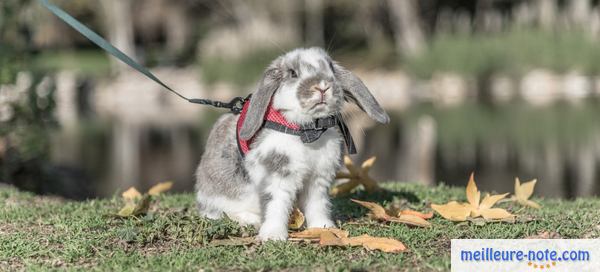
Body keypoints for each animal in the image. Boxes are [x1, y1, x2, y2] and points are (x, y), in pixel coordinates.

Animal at [193, 47, 390, 240]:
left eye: (331, 69)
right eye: (293, 73)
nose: (322, 86)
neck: (307, 131)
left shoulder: (317, 180)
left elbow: (317, 205)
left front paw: (323, 228)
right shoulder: (277, 176)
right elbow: (275, 206)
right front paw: (273, 236)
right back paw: (249, 221)